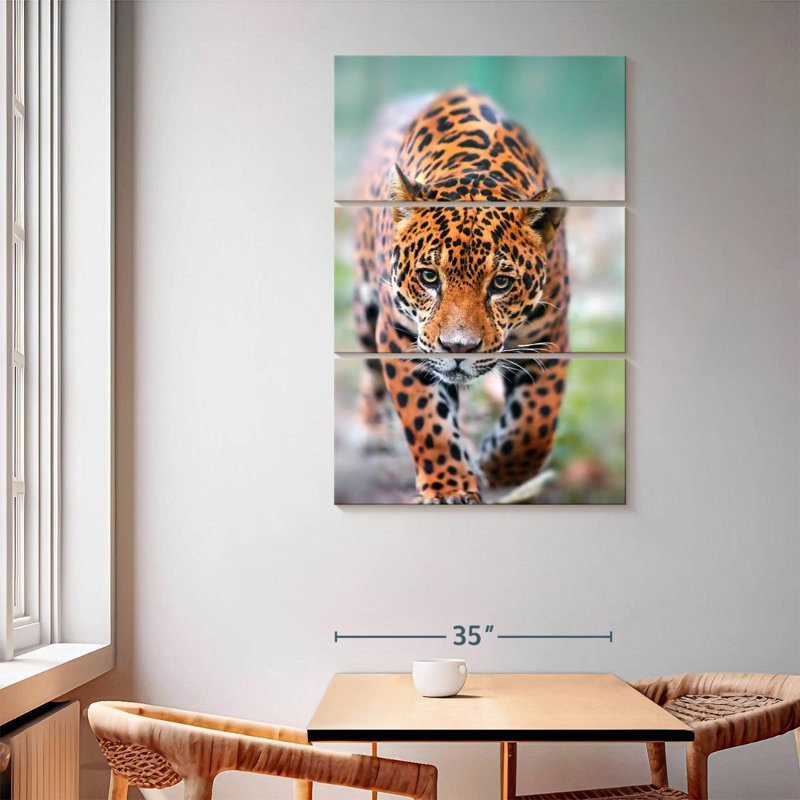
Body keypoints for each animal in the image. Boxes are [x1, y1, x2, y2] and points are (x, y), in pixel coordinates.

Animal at [349, 88, 570, 504]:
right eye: (429, 277)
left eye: (500, 283)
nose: (458, 349)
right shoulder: (400, 336)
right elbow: (426, 420)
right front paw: (448, 487)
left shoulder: (549, 336)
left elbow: (535, 422)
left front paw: (498, 468)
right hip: (364, 306)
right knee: (370, 370)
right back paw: (371, 429)